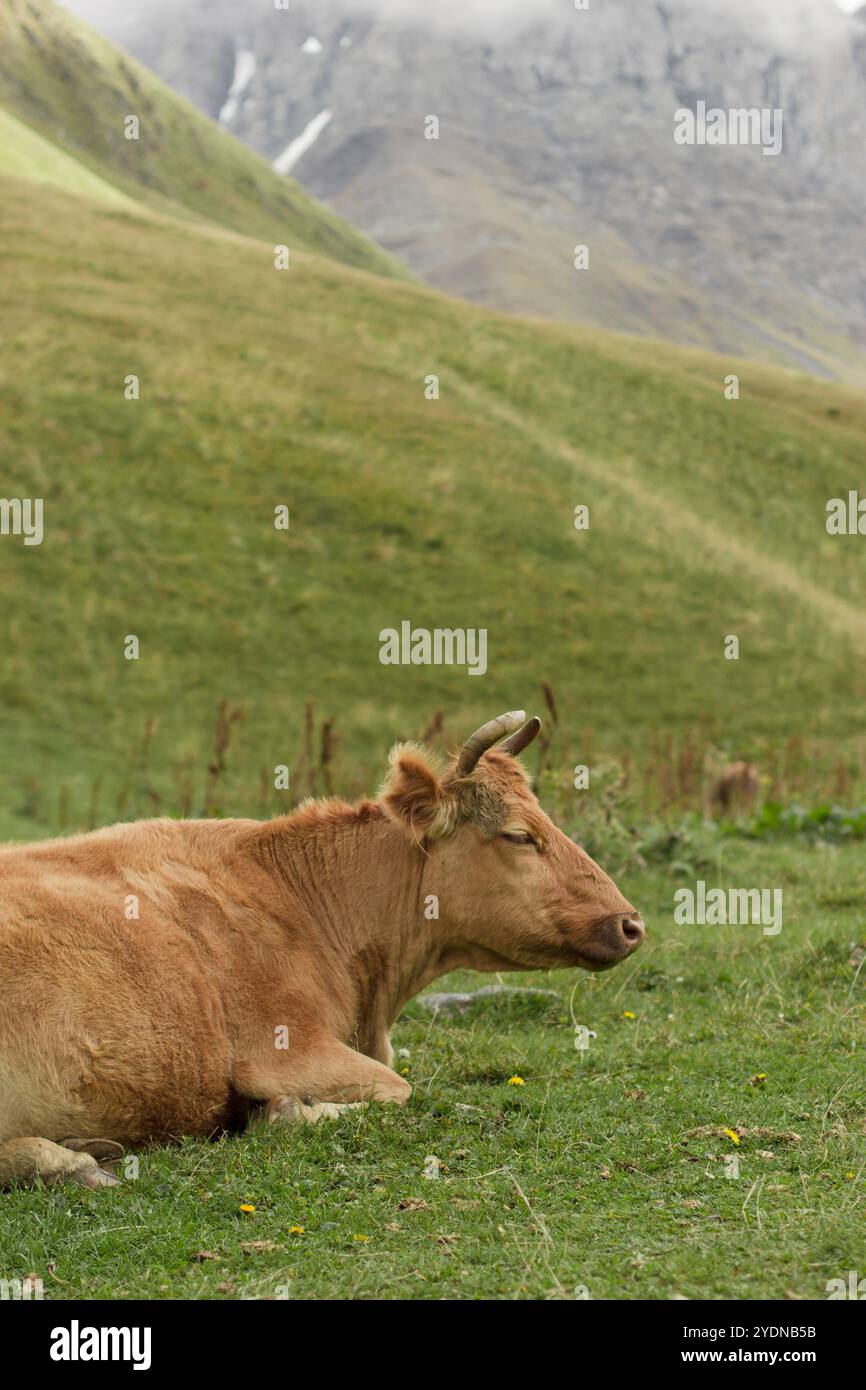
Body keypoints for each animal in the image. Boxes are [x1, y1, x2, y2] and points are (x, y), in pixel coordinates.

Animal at [0, 711, 639, 1189]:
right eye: (519, 836)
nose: (630, 923)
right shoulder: (285, 1048)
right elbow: (397, 1089)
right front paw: (285, 1113)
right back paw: (70, 1162)